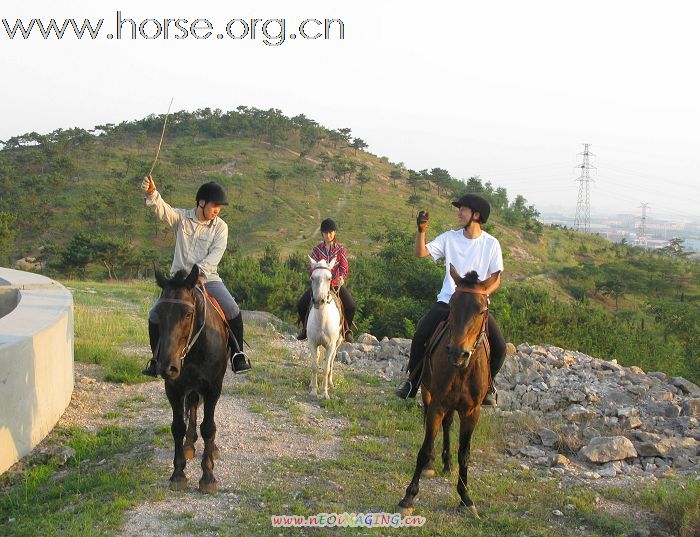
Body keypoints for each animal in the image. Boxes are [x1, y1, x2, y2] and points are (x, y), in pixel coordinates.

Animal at [154, 264, 228, 494]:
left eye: (188, 314)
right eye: (158, 313)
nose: (166, 366)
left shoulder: (213, 388)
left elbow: (209, 428)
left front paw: (208, 476)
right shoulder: (173, 388)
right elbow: (177, 427)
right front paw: (178, 473)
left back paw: (211, 449)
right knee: (193, 407)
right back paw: (189, 445)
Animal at [304, 255, 344, 398]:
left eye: (330, 278)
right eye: (312, 277)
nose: (319, 301)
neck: (322, 321)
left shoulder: (331, 345)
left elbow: (326, 368)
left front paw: (324, 393)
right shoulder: (312, 343)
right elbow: (315, 366)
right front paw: (314, 390)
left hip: (337, 344)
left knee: (330, 362)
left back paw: (330, 384)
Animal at [396, 266, 494, 516]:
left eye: (481, 310)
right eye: (452, 306)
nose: (458, 353)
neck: (462, 370)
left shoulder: (472, 412)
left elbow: (465, 454)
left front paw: (466, 498)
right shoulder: (438, 404)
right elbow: (423, 449)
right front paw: (408, 497)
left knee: (448, 426)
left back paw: (447, 464)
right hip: (427, 392)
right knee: (434, 425)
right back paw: (433, 464)